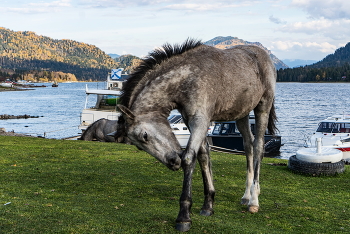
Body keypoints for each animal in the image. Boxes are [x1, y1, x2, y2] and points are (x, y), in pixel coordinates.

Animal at [116, 38, 278, 232]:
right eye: (139, 147)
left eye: (144, 136)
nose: (173, 162)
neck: (188, 78)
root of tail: (264, 55)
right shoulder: (191, 121)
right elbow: (203, 156)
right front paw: (208, 205)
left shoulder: (200, 120)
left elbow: (189, 158)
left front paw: (184, 216)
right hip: (242, 115)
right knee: (248, 146)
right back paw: (246, 195)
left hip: (263, 107)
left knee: (258, 146)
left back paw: (254, 200)